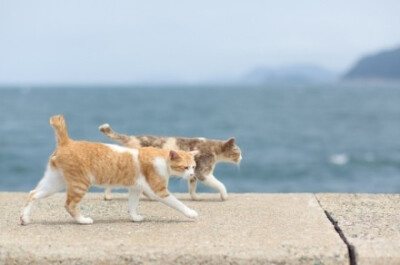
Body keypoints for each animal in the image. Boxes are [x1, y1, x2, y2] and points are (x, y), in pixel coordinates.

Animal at [20, 114, 198, 224]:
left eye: (193, 166)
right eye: (185, 167)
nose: (192, 174)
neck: (161, 158)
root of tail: (67, 142)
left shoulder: (135, 188)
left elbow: (132, 205)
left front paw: (135, 217)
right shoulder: (159, 191)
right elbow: (178, 203)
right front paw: (191, 213)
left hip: (55, 183)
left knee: (33, 194)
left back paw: (25, 218)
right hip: (79, 184)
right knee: (69, 205)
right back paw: (83, 220)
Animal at [98, 124, 242, 200]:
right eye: (238, 152)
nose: (242, 158)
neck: (213, 148)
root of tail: (130, 138)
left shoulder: (193, 173)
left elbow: (192, 188)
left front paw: (195, 197)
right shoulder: (203, 173)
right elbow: (220, 184)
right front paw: (224, 196)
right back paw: (107, 196)